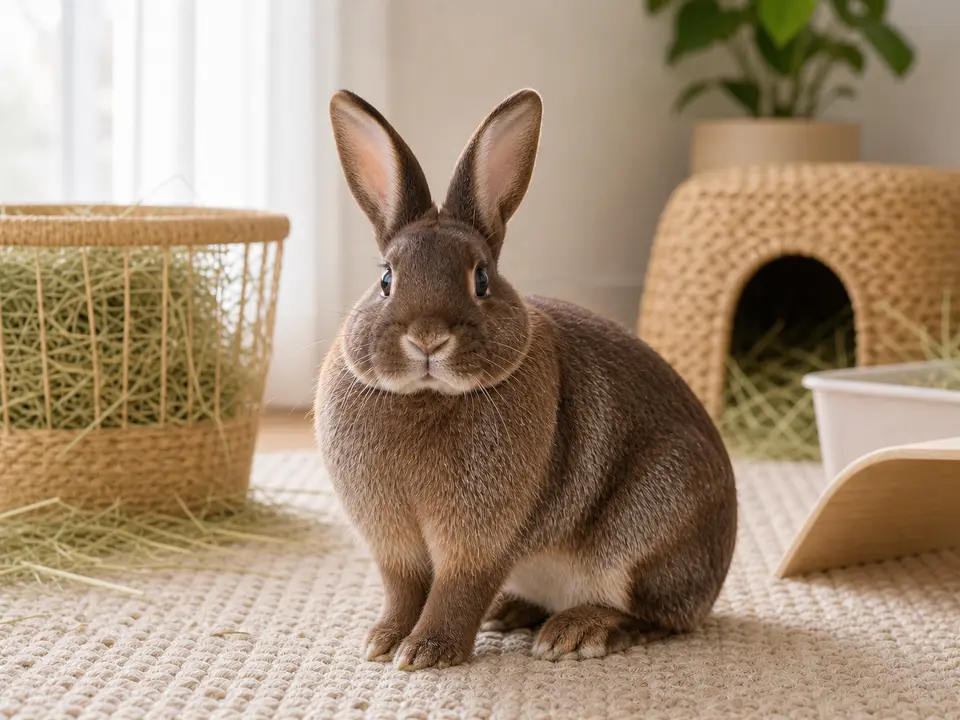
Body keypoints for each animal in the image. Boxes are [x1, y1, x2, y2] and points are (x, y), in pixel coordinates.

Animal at [314, 87, 738, 671]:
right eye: (385, 279)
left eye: (481, 279)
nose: (428, 339)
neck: (428, 395)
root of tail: (716, 577)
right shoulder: (395, 546)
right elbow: (403, 589)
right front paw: (383, 641)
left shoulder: (479, 541)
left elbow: (457, 591)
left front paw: (426, 652)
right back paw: (510, 612)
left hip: (649, 529)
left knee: (655, 617)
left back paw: (575, 633)